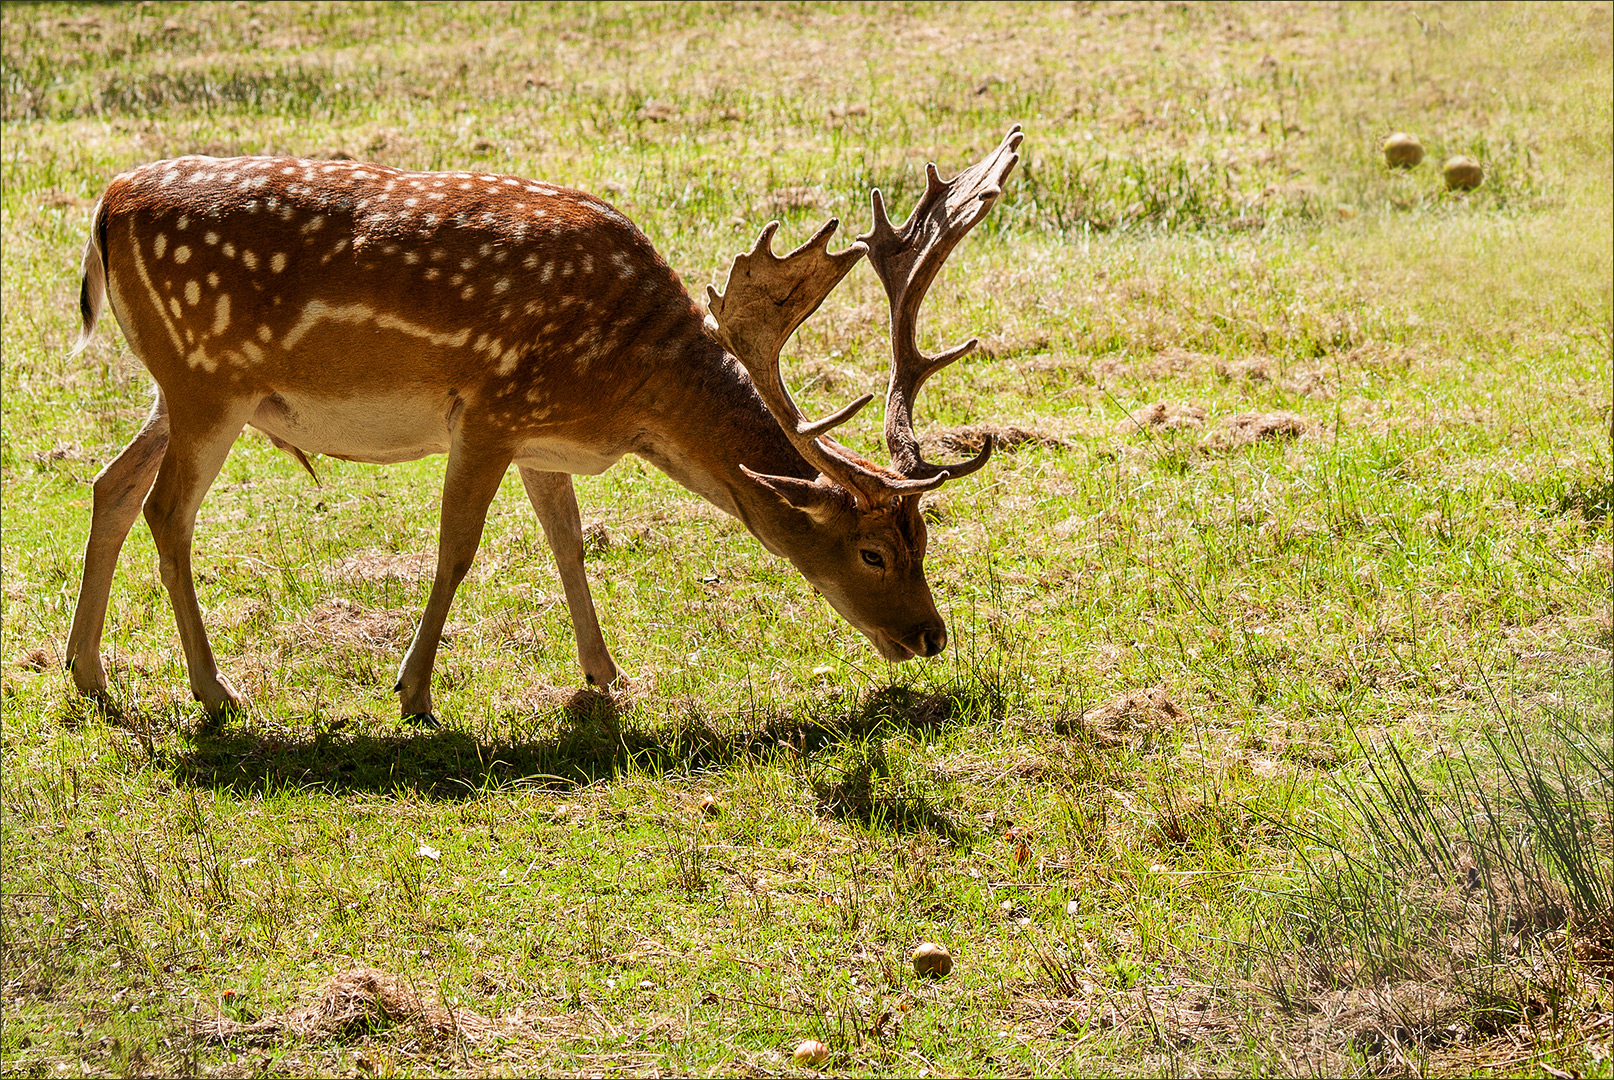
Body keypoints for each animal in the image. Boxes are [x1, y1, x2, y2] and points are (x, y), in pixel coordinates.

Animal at [66, 126, 1020, 720]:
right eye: (874, 552)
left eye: (926, 540)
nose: (931, 636)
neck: (629, 391)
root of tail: (107, 203)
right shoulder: (491, 408)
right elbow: (458, 548)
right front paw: (413, 691)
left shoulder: (541, 435)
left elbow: (568, 545)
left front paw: (608, 675)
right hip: (206, 381)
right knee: (167, 512)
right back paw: (215, 691)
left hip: (179, 387)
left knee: (110, 485)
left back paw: (89, 674)